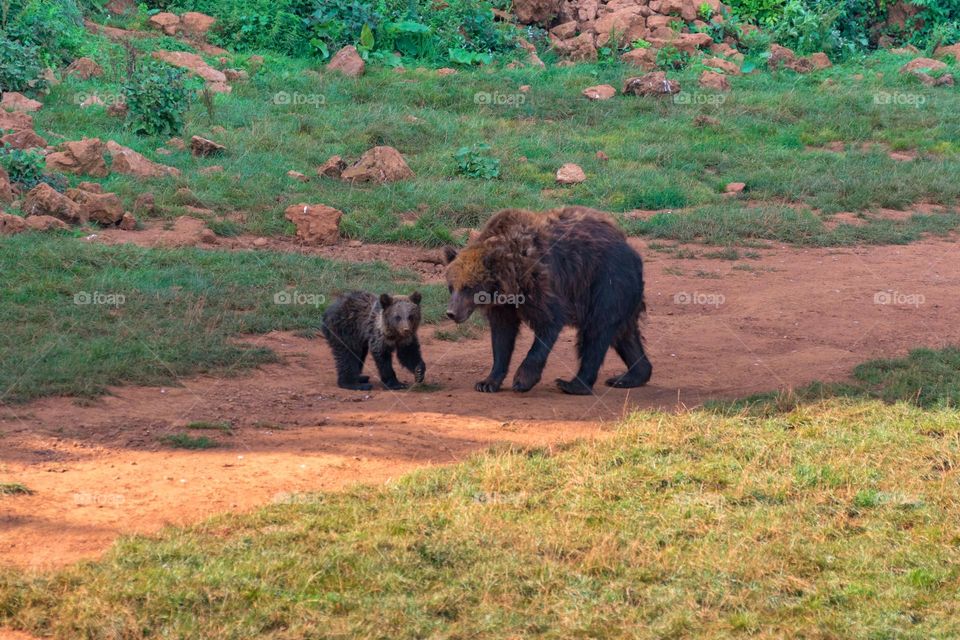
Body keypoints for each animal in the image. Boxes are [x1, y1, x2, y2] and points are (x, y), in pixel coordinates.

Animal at [443, 206, 651, 395]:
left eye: (468, 287)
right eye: (451, 286)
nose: (451, 313)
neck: (511, 280)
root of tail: (631, 249)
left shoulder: (540, 283)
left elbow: (548, 322)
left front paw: (522, 379)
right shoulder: (503, 306)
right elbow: (502, 336)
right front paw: (487, 382)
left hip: (606, 281)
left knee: (597, 330)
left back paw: (573, 384)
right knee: (624, 334)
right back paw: (631, 376)